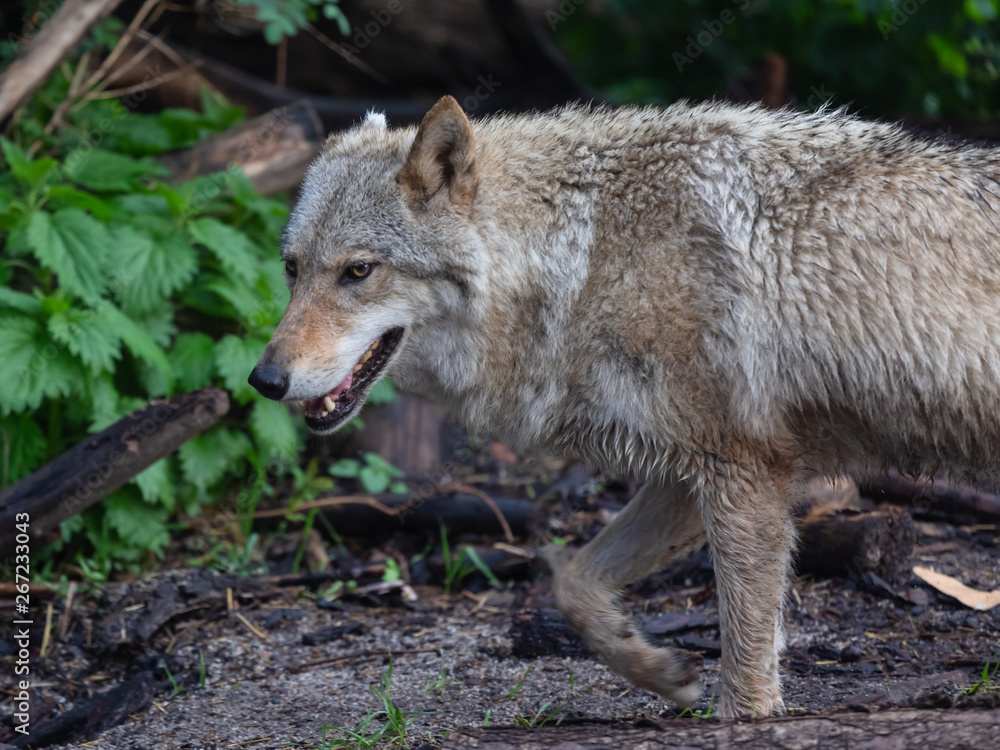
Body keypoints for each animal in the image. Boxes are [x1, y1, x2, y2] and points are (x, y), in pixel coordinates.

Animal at [249, 96, 1000, 717]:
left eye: (357, 271)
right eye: (292, 268)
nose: (264, 379)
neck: (584, 266)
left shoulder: (744, 473)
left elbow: (748, 674)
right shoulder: (687, 477)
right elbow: (572, 586)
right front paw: (661, 672)